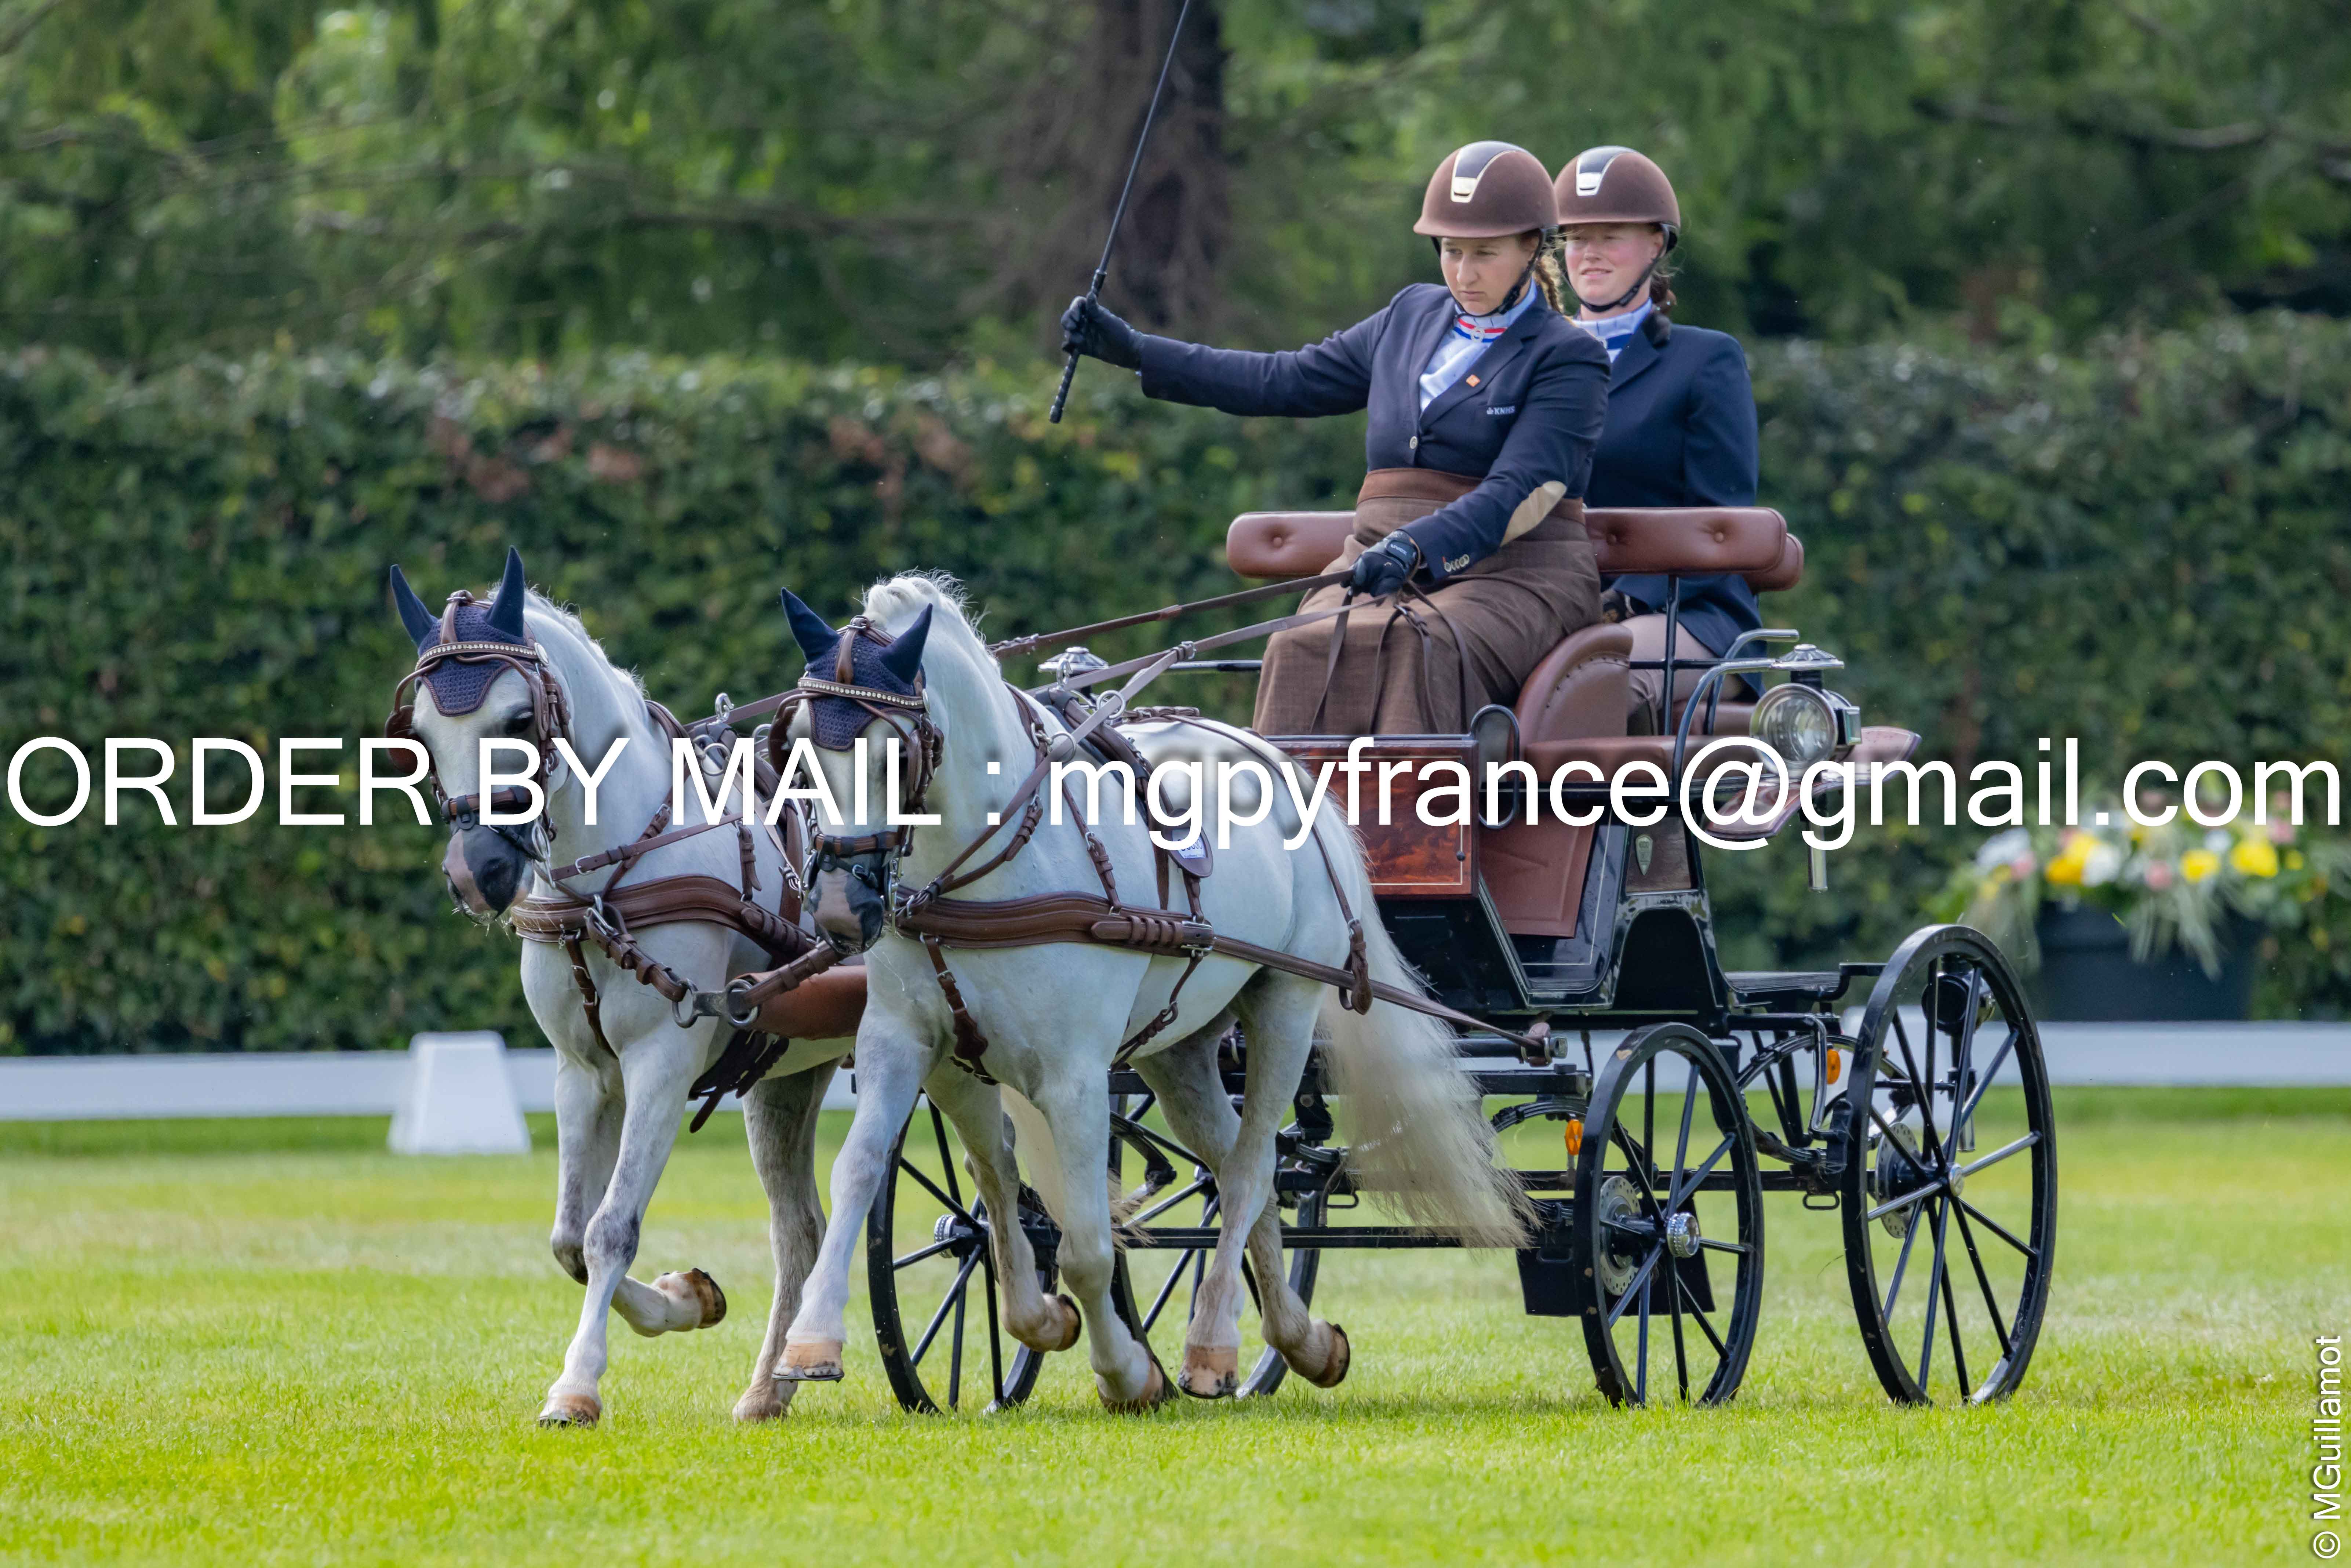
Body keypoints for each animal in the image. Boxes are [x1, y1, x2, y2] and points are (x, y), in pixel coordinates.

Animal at [387, 548, 851, 1427]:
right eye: (421, 735)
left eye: (517, 719)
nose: (476, 874)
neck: (609, 877)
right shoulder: (584, 1073)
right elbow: (571, 1236)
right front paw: (687, 1297)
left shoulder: (661, 1064)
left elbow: (611, 1229)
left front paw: (576, 1385)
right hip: (786, 1076)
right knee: (800, 1229)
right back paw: (768, 1386)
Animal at [766, 571, 1528, 1409]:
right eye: (795, 747)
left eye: (894, 754)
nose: (841, 909)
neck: (984, 861)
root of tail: (1281, 761)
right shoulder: (915, 1047)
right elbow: (908, 1175)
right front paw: (815, 1342)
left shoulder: (1073, 1077)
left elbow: (1086, 1245)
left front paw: (1128, 1373)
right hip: (1179, 1048)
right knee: (1236, 1169)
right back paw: (1299, 1338)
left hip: (1285, 1004)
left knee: (1251, 1169)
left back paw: (1210, 1345)